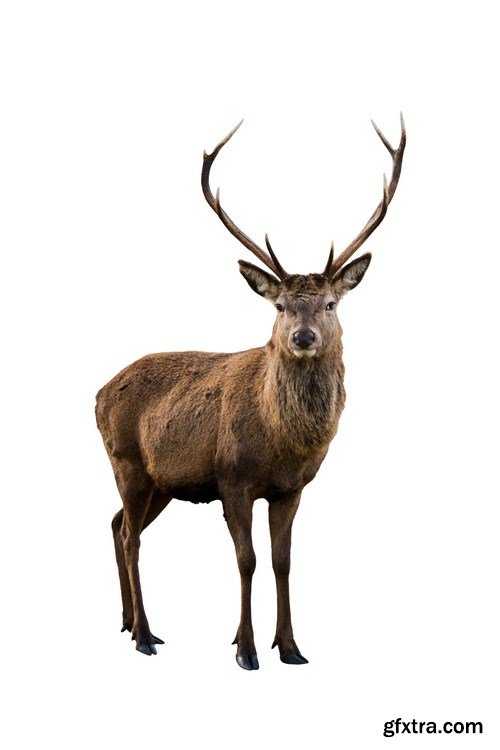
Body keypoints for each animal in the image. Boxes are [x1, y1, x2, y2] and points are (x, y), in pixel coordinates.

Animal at [96, 115, 406, 670]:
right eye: (280, 306)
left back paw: (128, 621)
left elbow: (283, 561)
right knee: (130, 536)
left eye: (330, 304)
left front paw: (291, 647)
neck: (281, 444)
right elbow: (247, 560)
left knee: (115, 525)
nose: (302, 337)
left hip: (161, 481)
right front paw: (245, 648)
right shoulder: (231, 478)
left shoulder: (292, 488)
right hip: (126, 461)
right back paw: (146, 635)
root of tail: (96, 393)